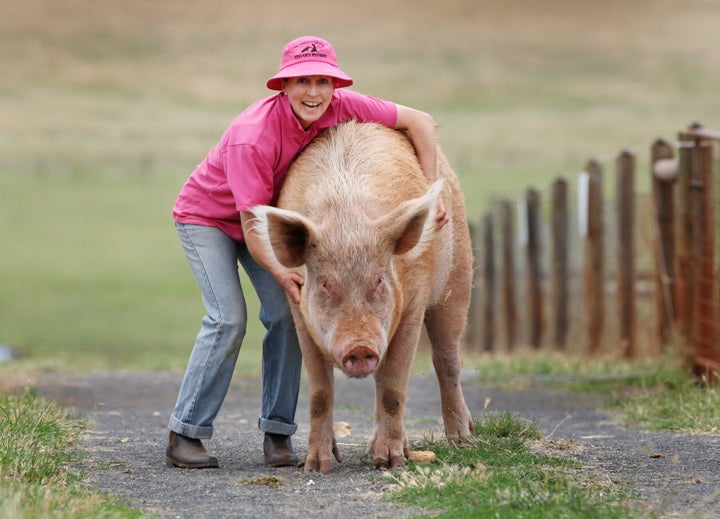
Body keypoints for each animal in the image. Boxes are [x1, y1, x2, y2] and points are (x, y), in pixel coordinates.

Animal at [250, 122, 476, 476]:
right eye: (325, 284)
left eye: (379, 280)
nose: (360, 347)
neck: (348, 223)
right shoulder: (299, 308)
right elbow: (320, 393)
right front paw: (315, 466)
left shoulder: (414, 300)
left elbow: (395, 387)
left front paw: (391, 464)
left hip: (458, 277)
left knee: (447, 361)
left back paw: (462, 441)